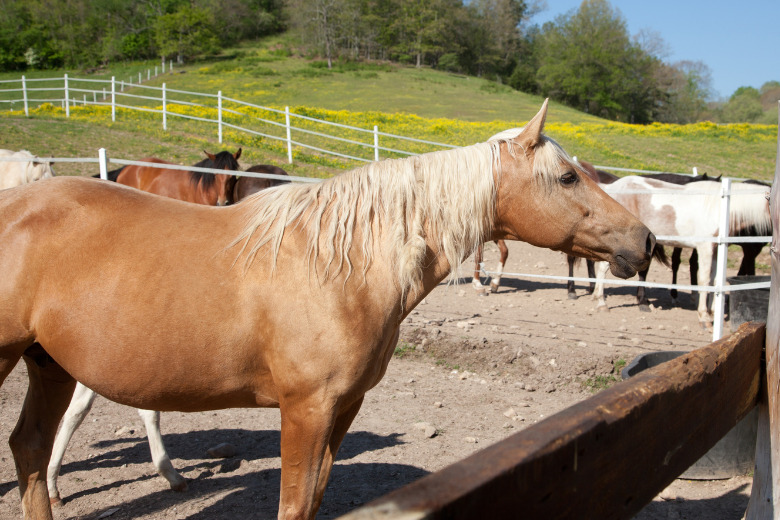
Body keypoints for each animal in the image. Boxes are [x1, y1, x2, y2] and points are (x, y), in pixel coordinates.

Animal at [596, 179, 772, 324]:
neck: (720, 208)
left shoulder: (715, 249)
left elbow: (714, 280)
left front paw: (713, 313)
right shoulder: (705, 247)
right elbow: (704, 279)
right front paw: (704, 317)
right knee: (602, 269)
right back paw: (601, 303)